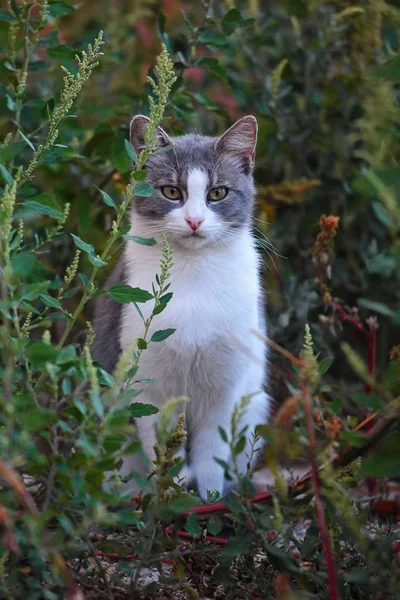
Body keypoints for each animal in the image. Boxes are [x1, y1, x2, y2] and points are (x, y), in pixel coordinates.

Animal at [92, 115, 270, 500]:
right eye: (172, 192)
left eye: (217, 193)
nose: (194, 221)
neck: (193, 274)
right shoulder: (147, 386)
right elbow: (161, 449)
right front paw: (169, 498)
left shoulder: (224, 388)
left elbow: (211, 456)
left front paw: (209, 499)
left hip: (254, 405)